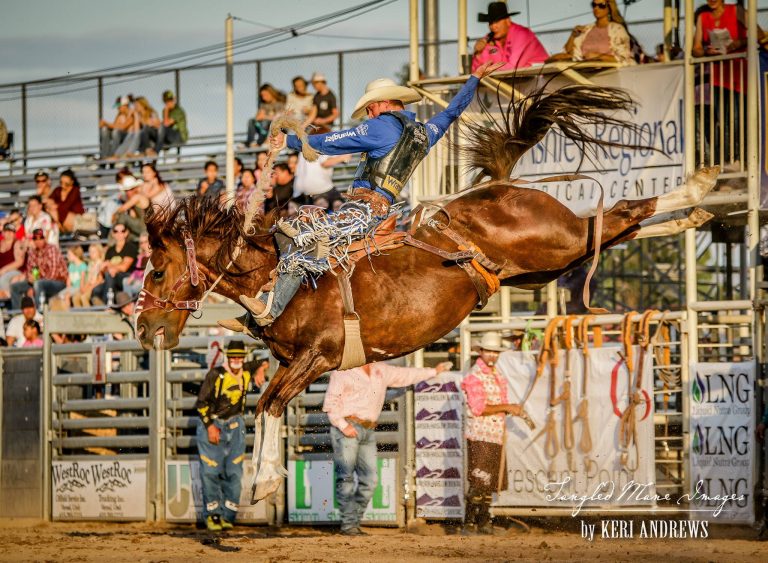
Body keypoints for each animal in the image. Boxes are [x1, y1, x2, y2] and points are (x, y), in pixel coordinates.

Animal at [135, 81, 716, 500]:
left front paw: (262, 483)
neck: (279, 275)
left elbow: (270, 405)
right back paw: (695, 211)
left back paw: (701, 185)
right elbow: (266, 405)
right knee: (613, 229)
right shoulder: (292, 362)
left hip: (554, 242)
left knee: (620, 212)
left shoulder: (316, 357)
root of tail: (501, 188)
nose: (143, 328)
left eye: (156, 272)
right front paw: (263, 482)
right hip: (544, 266)